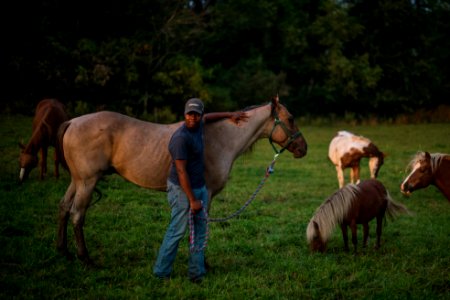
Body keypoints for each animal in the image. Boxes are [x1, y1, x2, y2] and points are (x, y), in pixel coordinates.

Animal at [56, 96, 308, 264]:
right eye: (291, 118)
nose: (303, 148)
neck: (221, 138)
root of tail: (72, 122)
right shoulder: (205, 194)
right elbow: (201, 226)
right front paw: (201, 262)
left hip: (77, 181)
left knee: (64, 208)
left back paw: (63, 251)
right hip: (88, 182)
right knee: (77, 214)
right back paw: (85, 258)